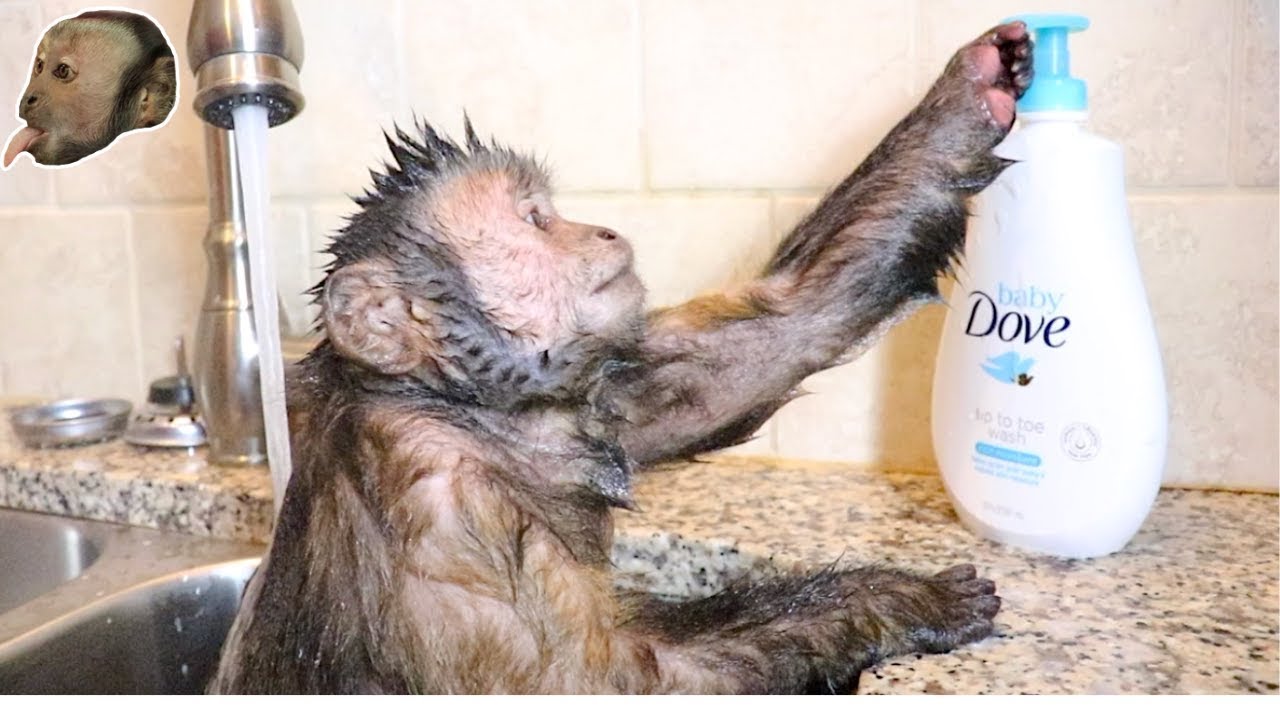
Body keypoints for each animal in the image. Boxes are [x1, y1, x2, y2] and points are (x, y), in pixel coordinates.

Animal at [209, 22, 1032, 694]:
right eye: (536, 220)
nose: (600, 231)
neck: (465, 413)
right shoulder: (432, 497)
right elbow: (598, 684)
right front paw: (898, 599)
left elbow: (779, 330)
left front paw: (975, 86)